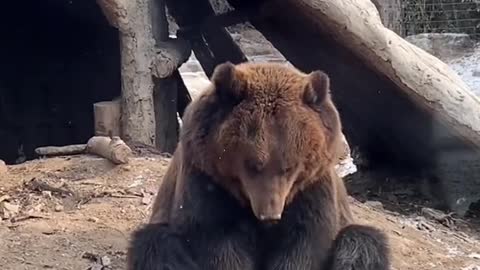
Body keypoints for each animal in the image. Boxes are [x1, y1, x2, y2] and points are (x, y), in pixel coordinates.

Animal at [127, 61, 390, 270]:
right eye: (253, 164)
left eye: (289, 166)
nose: (269, 214)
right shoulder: (206, 179)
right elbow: (217, 239)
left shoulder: (312, 187)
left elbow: (305, 241)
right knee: (156, 245)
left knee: (362, 242)